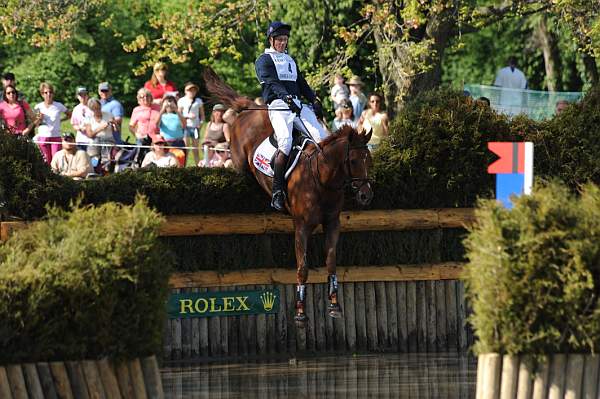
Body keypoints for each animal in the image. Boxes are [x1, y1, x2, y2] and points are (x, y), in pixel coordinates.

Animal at [207, 69, 376, 328]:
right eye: (354, 160)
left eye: (369, 160)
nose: (366, 195)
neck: (321, 178)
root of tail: (248, 109)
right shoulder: (302, 226)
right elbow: (302, 268)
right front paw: (300, 314)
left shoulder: (332, 223)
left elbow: (331, 262)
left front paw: (334, 305)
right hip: (239, 162)